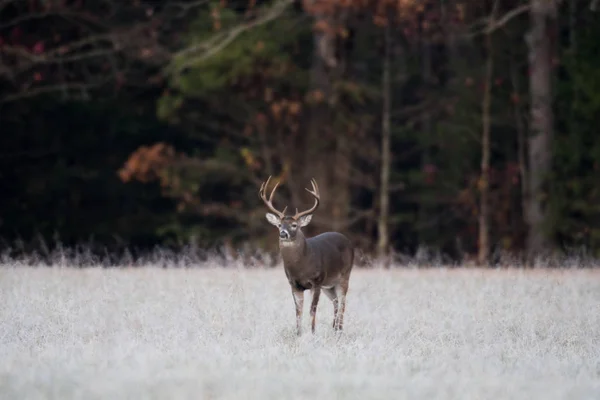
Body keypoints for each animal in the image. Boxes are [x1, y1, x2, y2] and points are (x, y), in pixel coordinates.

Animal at [258, 177, 354, 336]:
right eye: (279, 225)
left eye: (294, 225)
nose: (283, 233)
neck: (301, 267)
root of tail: (347, 240)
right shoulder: (294, 284)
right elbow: (298, 312)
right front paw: (298, 334)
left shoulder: (316, 281)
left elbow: (312, 310)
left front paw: (313, 333)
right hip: (329, 284)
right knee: (335, 301)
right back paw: (334, 328)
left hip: (344, 276)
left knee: (342, 303)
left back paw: (339, 330)